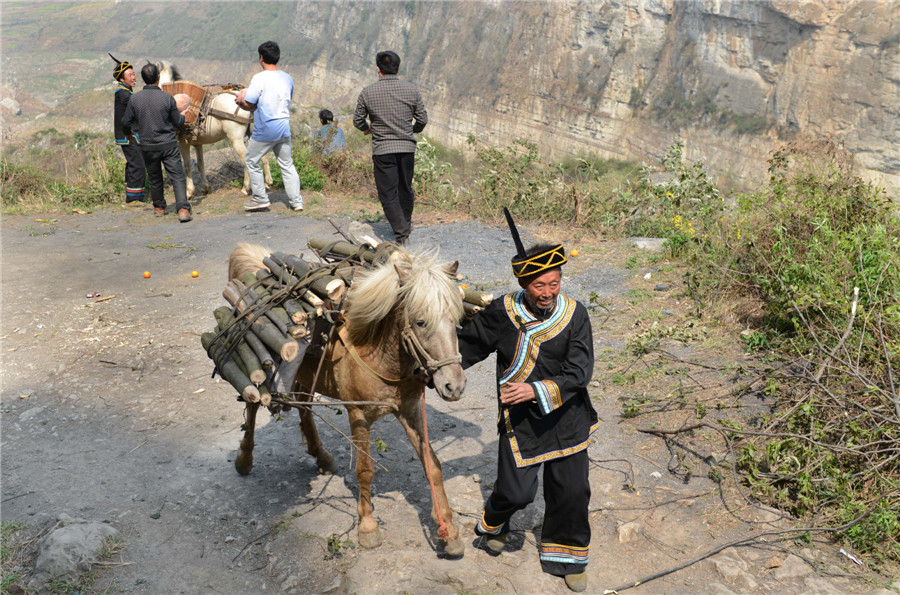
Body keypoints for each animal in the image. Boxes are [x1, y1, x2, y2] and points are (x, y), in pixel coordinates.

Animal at [156, 62, 272, 199]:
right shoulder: (197, 143)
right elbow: (200, 165)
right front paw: (205, 188)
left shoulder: (183, 143)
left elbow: (187, 167)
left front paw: (189, 192)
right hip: (253, 135)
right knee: (263, 156)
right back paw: (267, 182)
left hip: (236, 139)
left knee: (246, 160)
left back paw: (245, 188)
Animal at [225, 243, 468, 560]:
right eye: (420, 321)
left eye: (457, 321)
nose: (454, 385)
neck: (378, 355)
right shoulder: (359, 416)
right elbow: (365, 470)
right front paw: (367, 527)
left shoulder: (410, 411)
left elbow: (433, 466)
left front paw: (449, 531)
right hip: (263, 374)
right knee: (253, 406)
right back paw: (245, 459)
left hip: (305, 373)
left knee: (304, 407)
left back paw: (321, 455)